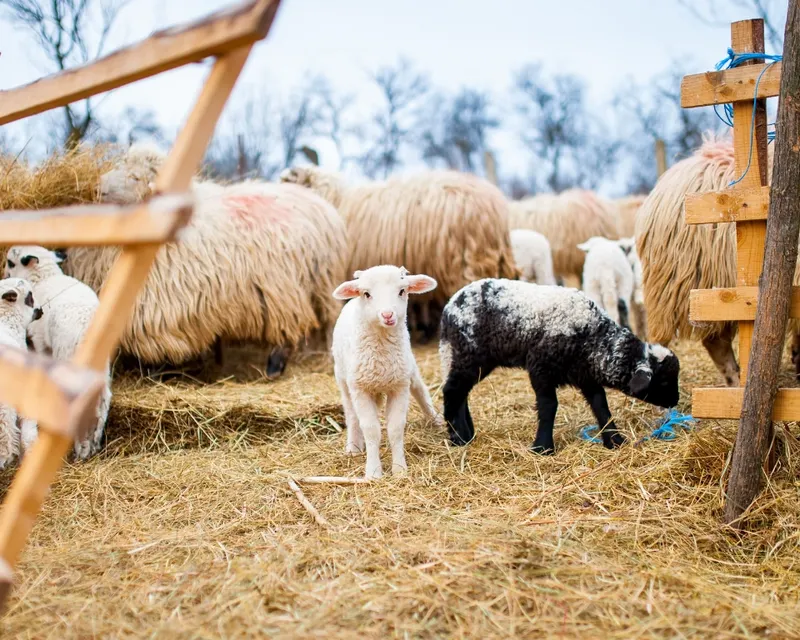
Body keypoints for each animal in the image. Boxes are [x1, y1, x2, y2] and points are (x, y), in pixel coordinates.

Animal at [4, 247, 110, 459]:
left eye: (10, 262)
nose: (4, 274)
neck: (44, 277)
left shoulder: (39, 340)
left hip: (68, 357)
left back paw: (81, 448)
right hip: (102, 367)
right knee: (103, 401)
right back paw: (93, 444)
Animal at [62, 144, 348, 379]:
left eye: (135, 177)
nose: (96, 188)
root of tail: (319, 204)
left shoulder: (163, 303)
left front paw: (159, 372)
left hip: (295, 287)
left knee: (306, 325)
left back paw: (277, 366)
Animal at [331, 265, 440, 479]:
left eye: (402, 291)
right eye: (366, 294)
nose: (388, 315)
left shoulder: (399, 386)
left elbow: (395, 428)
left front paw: (399, 469)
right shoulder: (360, 389)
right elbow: (371, 430)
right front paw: (373, 472)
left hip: (409, 368)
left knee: (421, 391)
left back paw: (436, 420)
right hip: (343, 379)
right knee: (351, 414)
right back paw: (354, 446)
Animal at [439, 279, 680, 454]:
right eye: (663, 381)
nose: (676, 401)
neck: (593, 339)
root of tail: (450, 306)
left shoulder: (585, 375)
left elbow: (601, 406)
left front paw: (615, 441)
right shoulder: (540, 368)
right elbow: (549, 407)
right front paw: (543, 447)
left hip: (475, 360)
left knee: (460, 392)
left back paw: (466, 434)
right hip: (469, 354)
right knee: (451, 390)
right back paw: (458, 437)